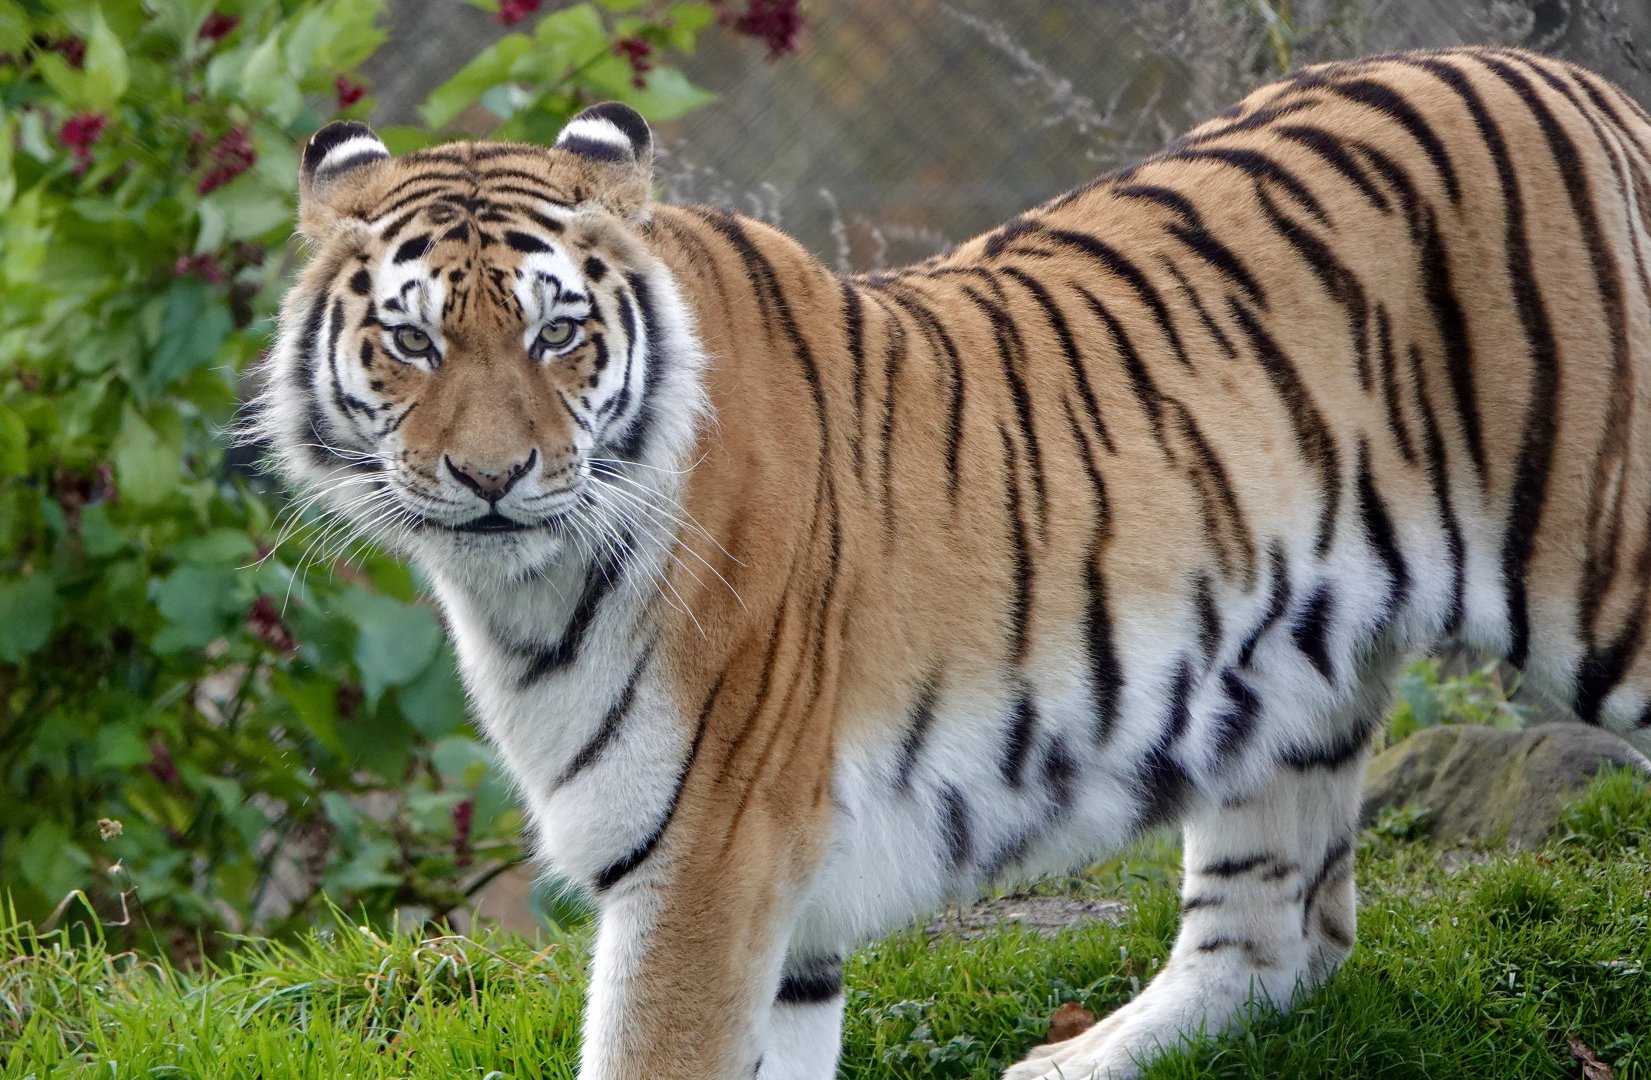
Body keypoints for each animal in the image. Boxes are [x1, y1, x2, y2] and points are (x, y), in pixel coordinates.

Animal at [254, 45, 1651, 1080]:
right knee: (1282, 938)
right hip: (1291, 675)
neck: (524, 592)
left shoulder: (707, 861)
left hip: (1604, 574)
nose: (494, 479)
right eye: (412, 342)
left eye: (558, 335)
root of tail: (1569, 81)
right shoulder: (770, 895)